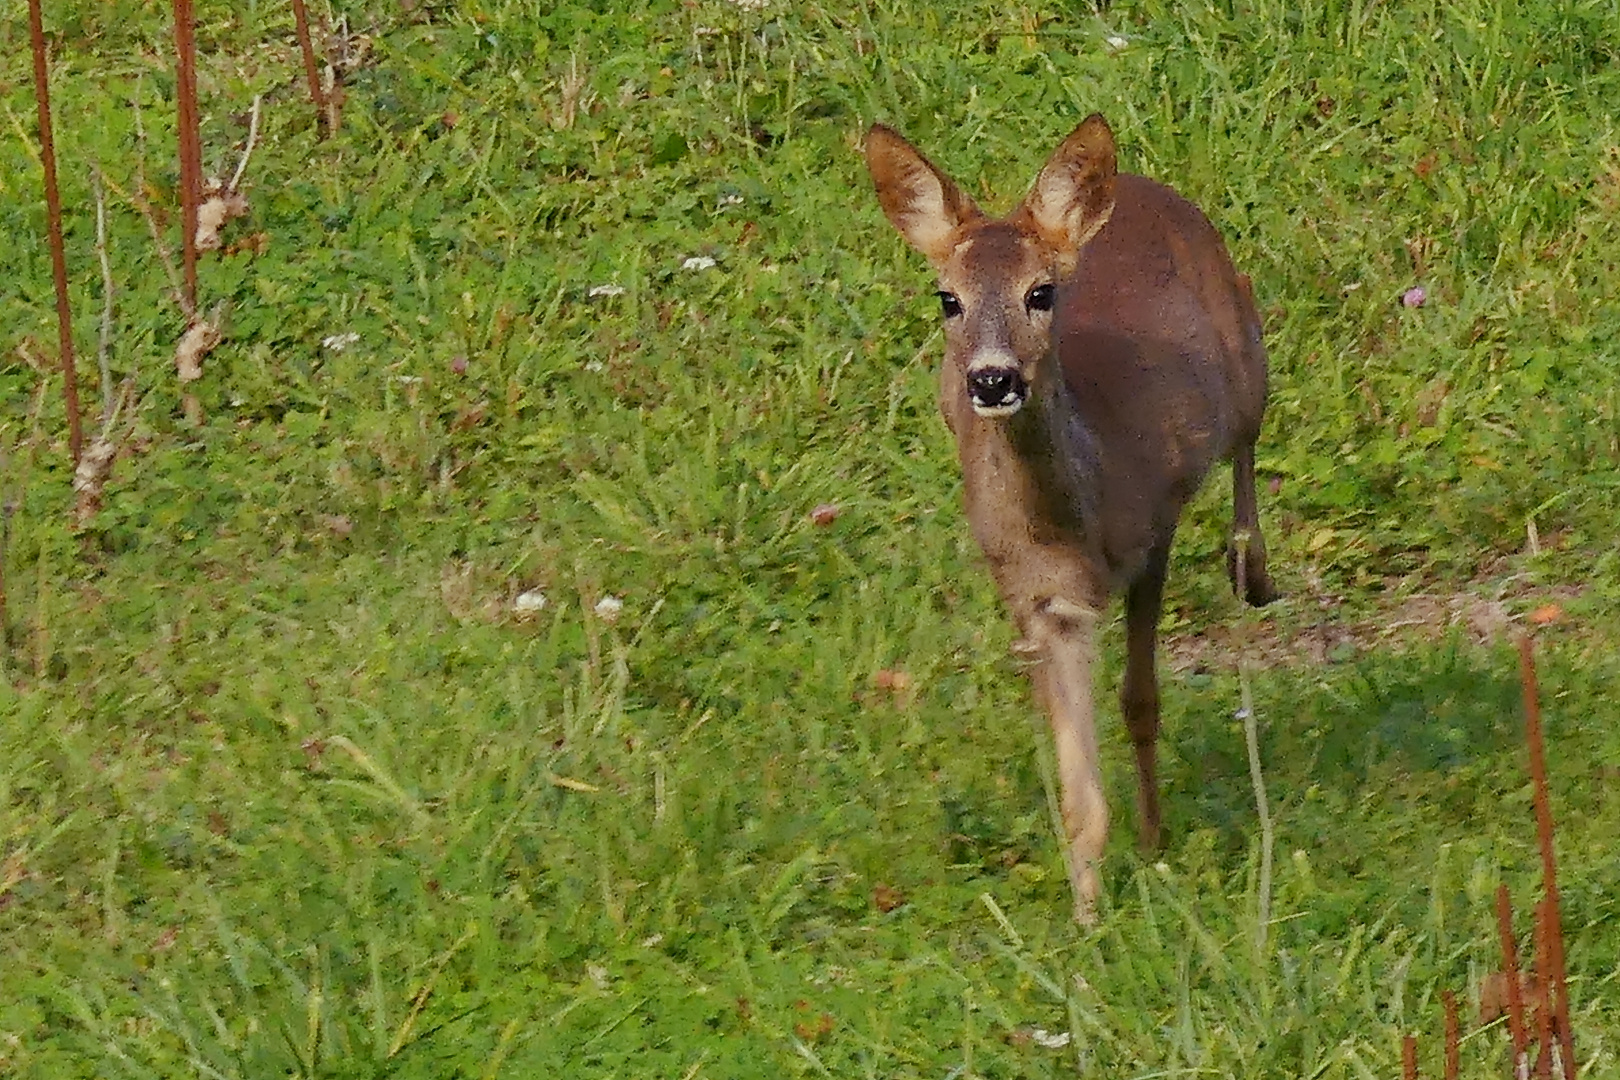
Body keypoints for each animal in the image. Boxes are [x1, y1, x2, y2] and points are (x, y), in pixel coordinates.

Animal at [868, 116, 1270, 919]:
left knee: (1250, 427)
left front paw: (1153, 843)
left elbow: (1140, 701)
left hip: (1243, 343)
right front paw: (1087, 916)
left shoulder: (1154, 530)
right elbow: (1077, 786)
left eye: (1041, 291)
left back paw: (1253, 569)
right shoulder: (1035, 599)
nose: (993, 379)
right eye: (947, 298)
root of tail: (1140, 184)